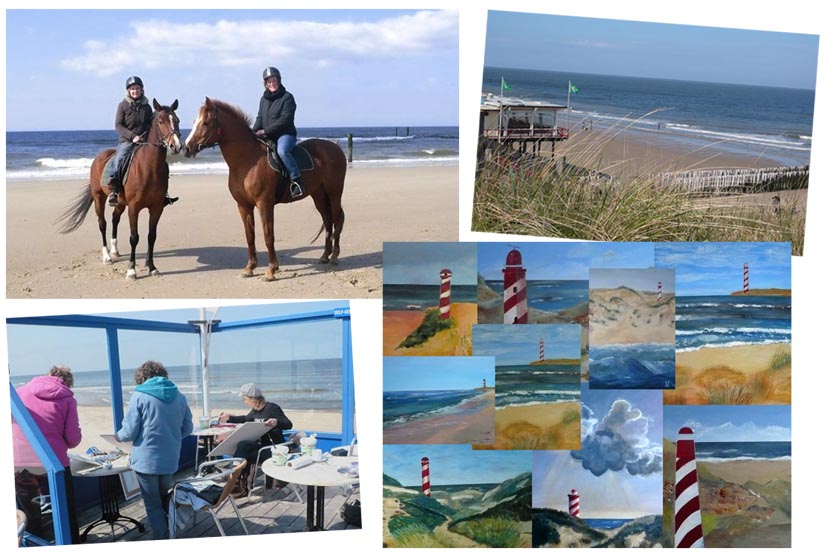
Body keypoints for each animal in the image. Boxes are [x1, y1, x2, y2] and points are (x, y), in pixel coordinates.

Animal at [56, 99, 183, 278]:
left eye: (177, 120)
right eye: (160, 121)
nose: (176, 146)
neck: (149, 168)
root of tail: (99, 157)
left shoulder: (157, 208)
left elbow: (151, 236)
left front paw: (152, 267)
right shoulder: (134, 208)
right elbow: (134, 237)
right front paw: (131, 270)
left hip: (121, 203)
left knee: (115, 219)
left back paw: (115, 250)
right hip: (99, 198)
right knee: (102, 223)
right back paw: (107, 256)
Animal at [183, 96, 348, 282]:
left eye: (206, 122)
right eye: (195, 121)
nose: (186, 148)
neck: (248, 160)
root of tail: (335, 147)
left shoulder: (264, 204)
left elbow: (268, 236)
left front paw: (271, 271)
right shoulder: (243, 206)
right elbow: (250, 236)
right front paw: (249, 268)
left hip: (334, 193)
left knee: (336, 219)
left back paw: (334, 257)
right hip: (318, 195)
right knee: (327, 220)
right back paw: (325, 256)